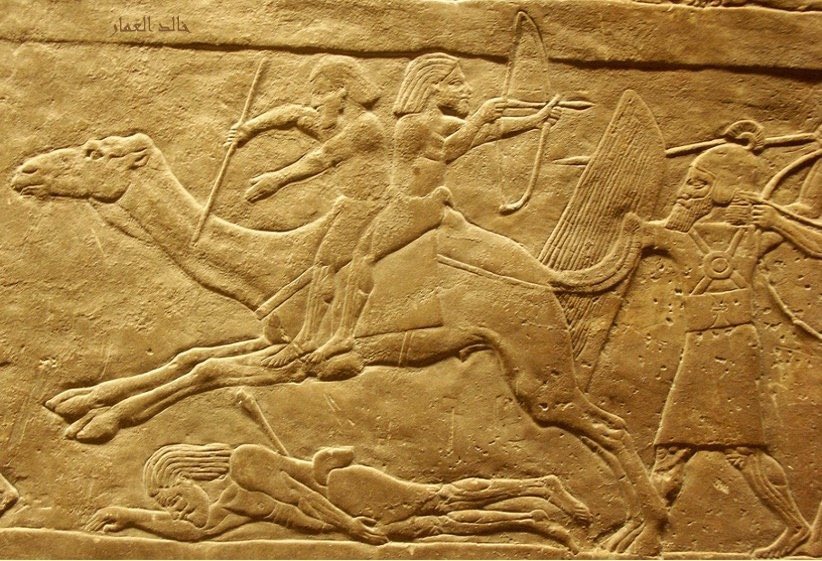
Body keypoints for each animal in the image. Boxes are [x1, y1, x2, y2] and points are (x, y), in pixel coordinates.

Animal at [12, 132, 666, 554]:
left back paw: (638, 530)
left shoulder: (299, 362)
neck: (274, 259)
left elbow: (207, 373)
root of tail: (540, 272)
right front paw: (76, 401)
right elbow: (193, 355)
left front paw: (97, 423)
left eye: (94, 153)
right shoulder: (272, 342)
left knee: (609, 427)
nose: (27, 171)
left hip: (537, 364)